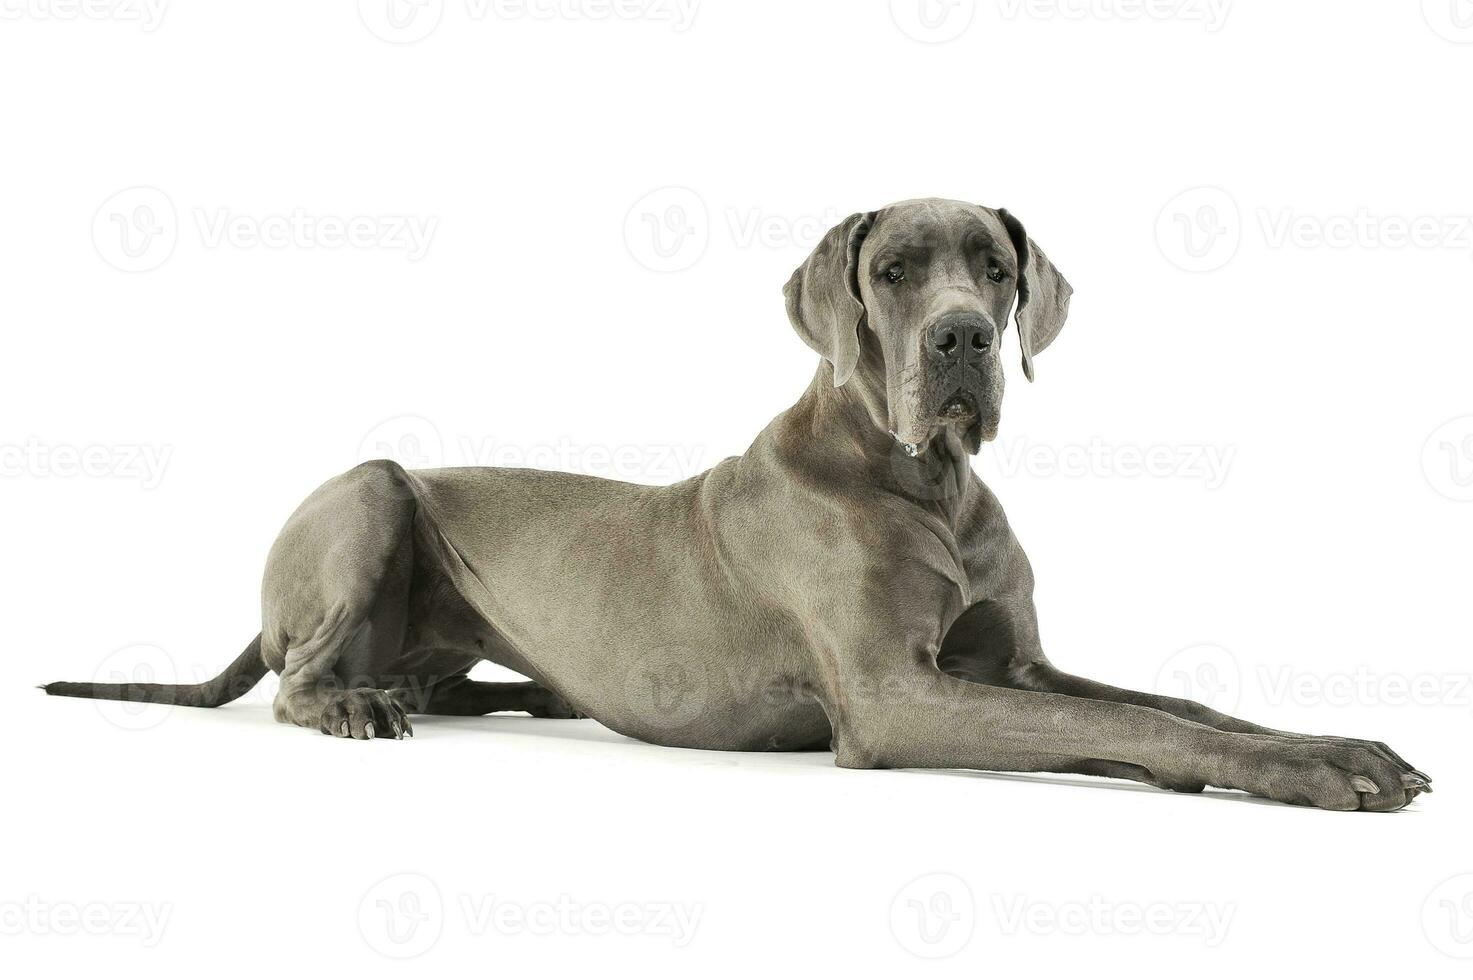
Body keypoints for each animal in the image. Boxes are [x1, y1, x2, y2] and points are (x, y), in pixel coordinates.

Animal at [46, 194, 1425, 807]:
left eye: (994, 264)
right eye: (895, 269)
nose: (967, 338)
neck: (927, 477)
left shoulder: (1016, 666)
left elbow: (1178, 704)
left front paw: (1334, 741)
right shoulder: (895, 696)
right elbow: (1136, 726)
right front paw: (1312, 770)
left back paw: (522, 692)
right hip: (374, 489)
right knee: (303, 674)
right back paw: (355, 705)